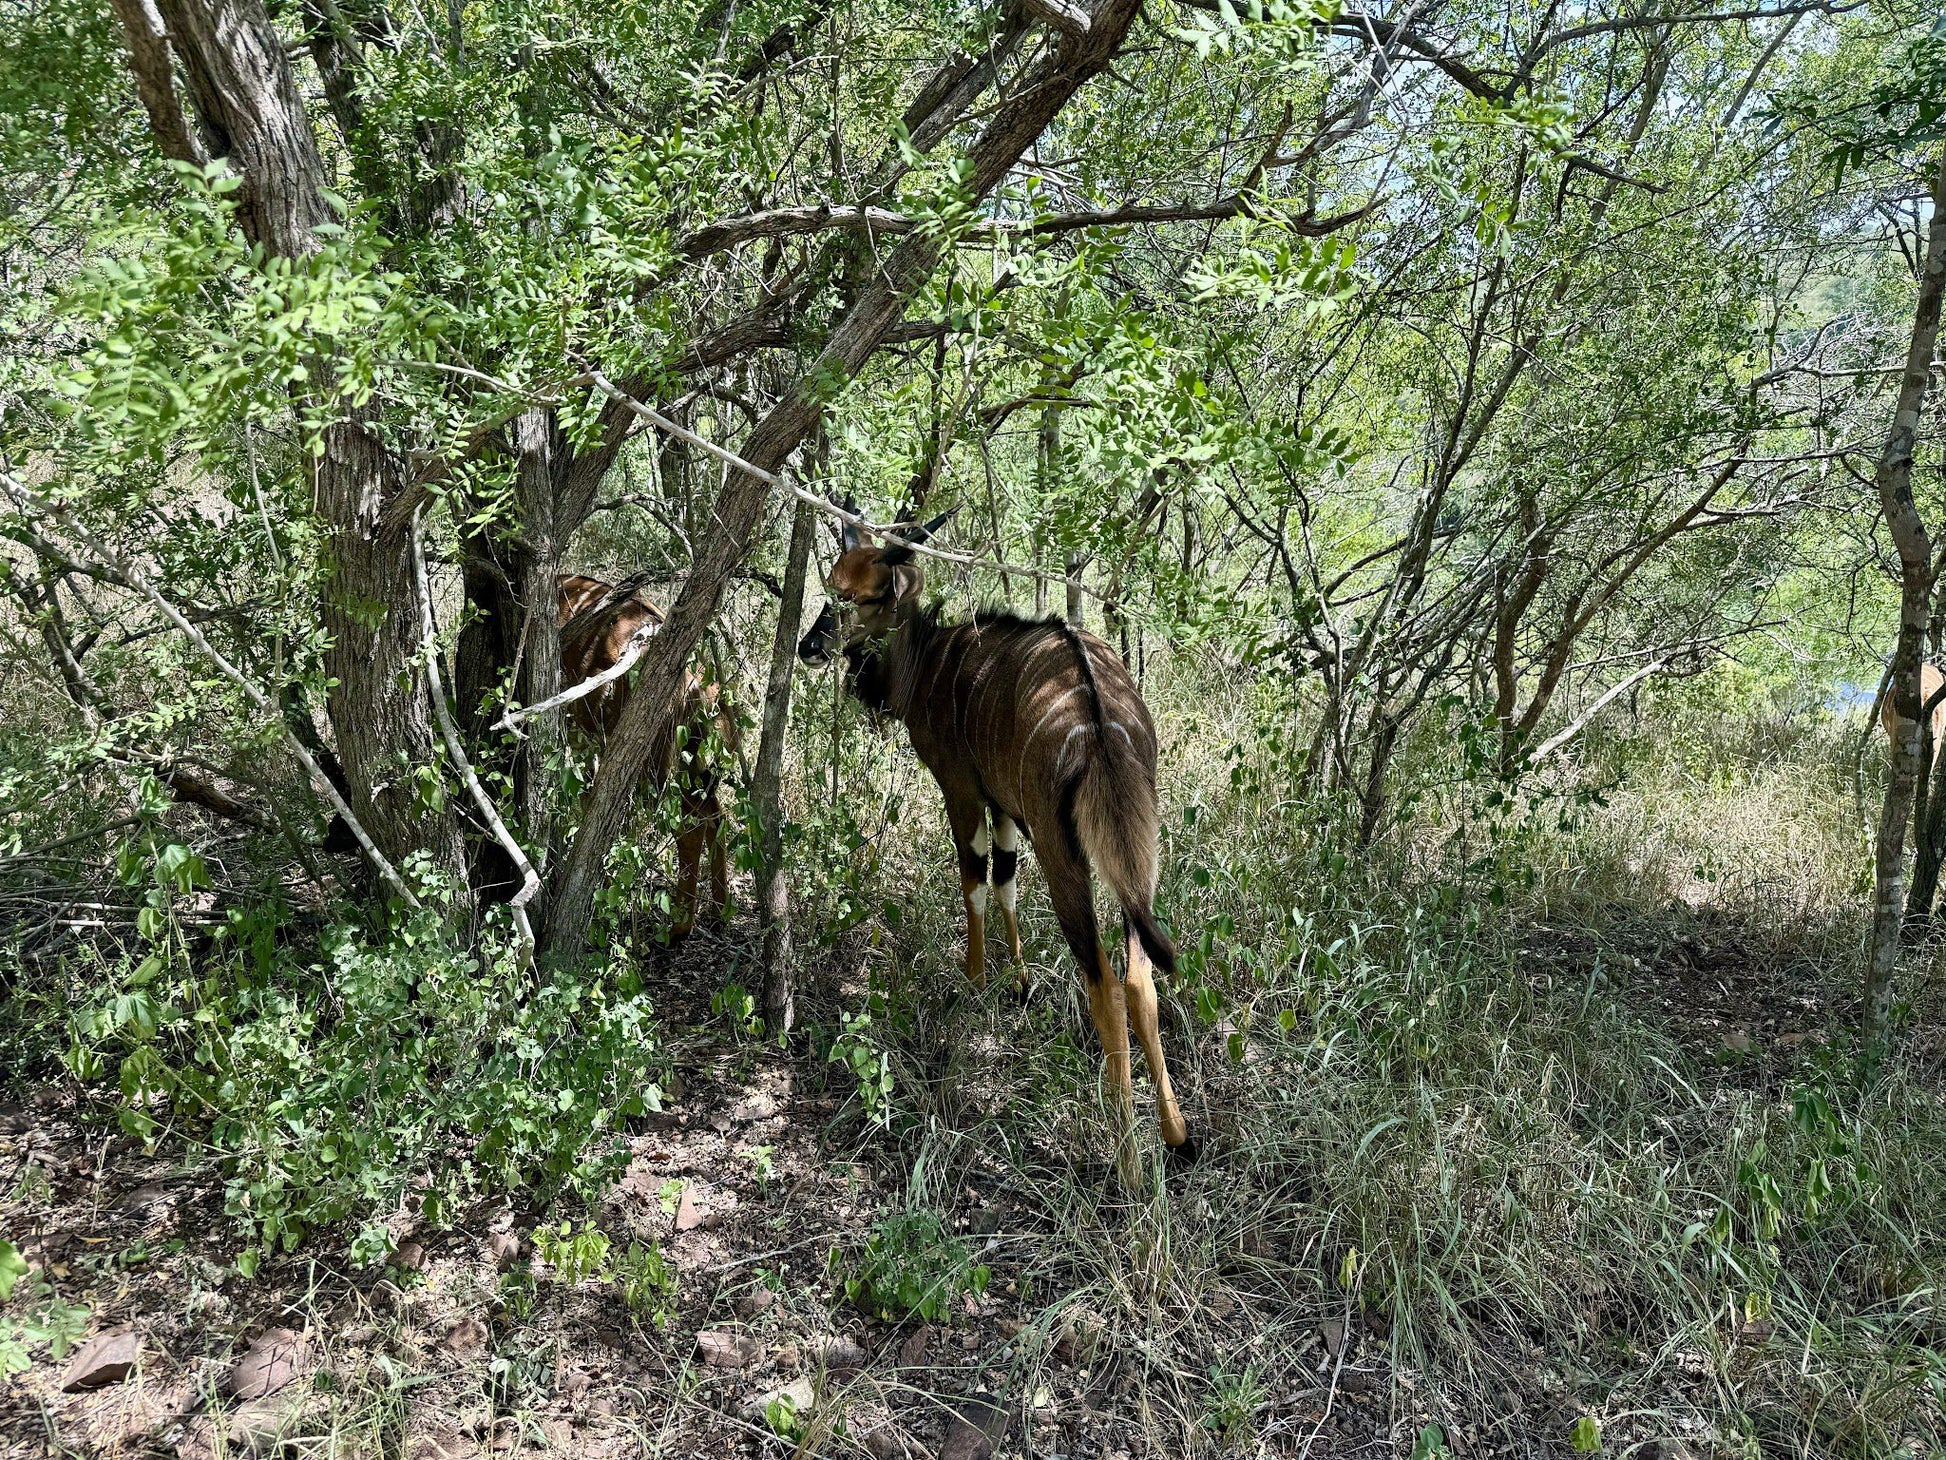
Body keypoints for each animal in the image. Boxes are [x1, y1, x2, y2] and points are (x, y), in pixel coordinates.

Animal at [564, 576, 743, 938]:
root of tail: (702, 691)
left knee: (691, 827)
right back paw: (721, 910)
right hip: (695, 766)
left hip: (660, 764)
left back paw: (679, 926)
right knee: (715, 817)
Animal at [793, 502, 1190, 1191]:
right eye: (831, 582)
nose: (809, 646)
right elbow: (1006, 879)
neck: (930, 663)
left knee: (1107, 985)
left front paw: (977, 980)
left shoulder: (960, 786)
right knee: (1140, 976)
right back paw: (1177, 1136)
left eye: (866, 595)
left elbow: (975, 880)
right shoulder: (1004, 805)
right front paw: (1020, 982)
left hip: (1067, 858)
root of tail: (1100, 719)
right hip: (1132, 865)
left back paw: (1129, 1166)